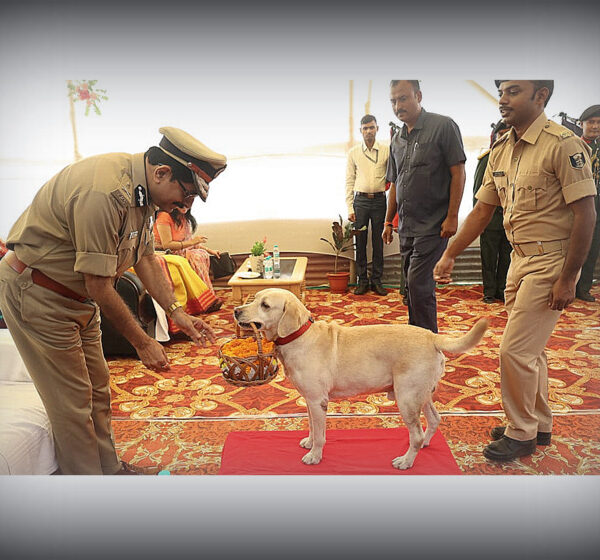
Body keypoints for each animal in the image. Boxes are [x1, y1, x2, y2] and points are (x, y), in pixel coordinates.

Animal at [234, 288, 488, 468]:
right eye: (254, 298)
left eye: (265, 305)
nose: (236, 310)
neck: (298, 336)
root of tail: (432, 336)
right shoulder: (309, 400)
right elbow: (312, 427)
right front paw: (309, 442)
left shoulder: (318, 401)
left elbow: (321, 435)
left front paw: (314, 455)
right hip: (421, 394)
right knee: (434, 419)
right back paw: (425, 442)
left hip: (407, 398)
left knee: (415, 434)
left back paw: (406, 461)